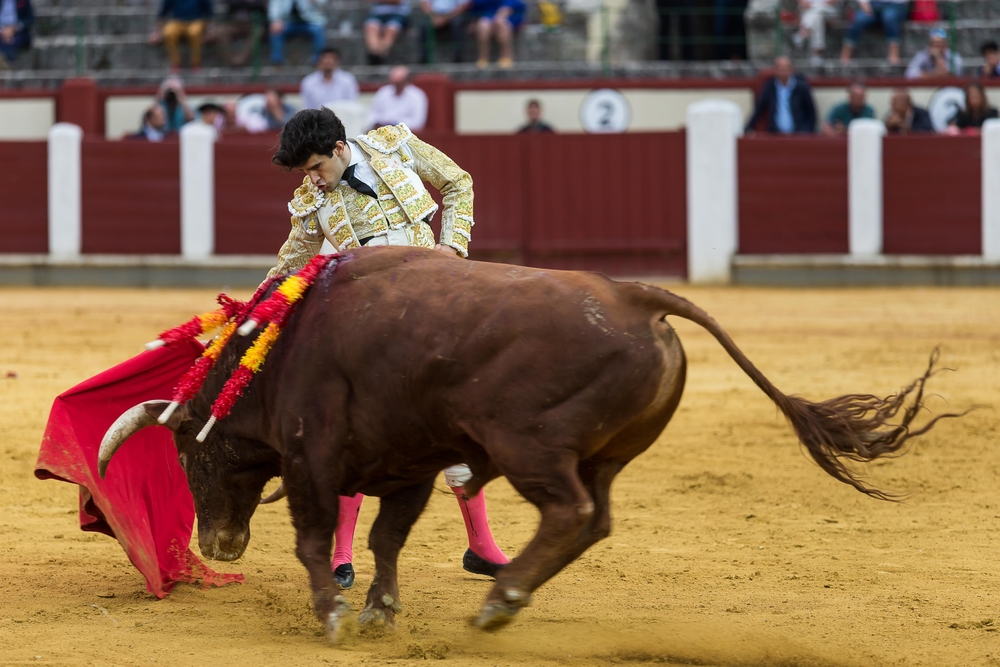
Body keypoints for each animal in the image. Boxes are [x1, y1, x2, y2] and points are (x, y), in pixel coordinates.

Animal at [97, 248, 956, 644]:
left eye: (190, 455)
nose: (219, 542)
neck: (285, 349)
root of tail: (632, 296)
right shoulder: (405, 461)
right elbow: (384, 537)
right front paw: (378, 610)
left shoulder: (314, 458)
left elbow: (317, 538)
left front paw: (333, 614)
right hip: (604, 455)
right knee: (595, 516)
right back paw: (504, 595)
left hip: (529, 445)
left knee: (569, 511)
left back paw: (500, 599)